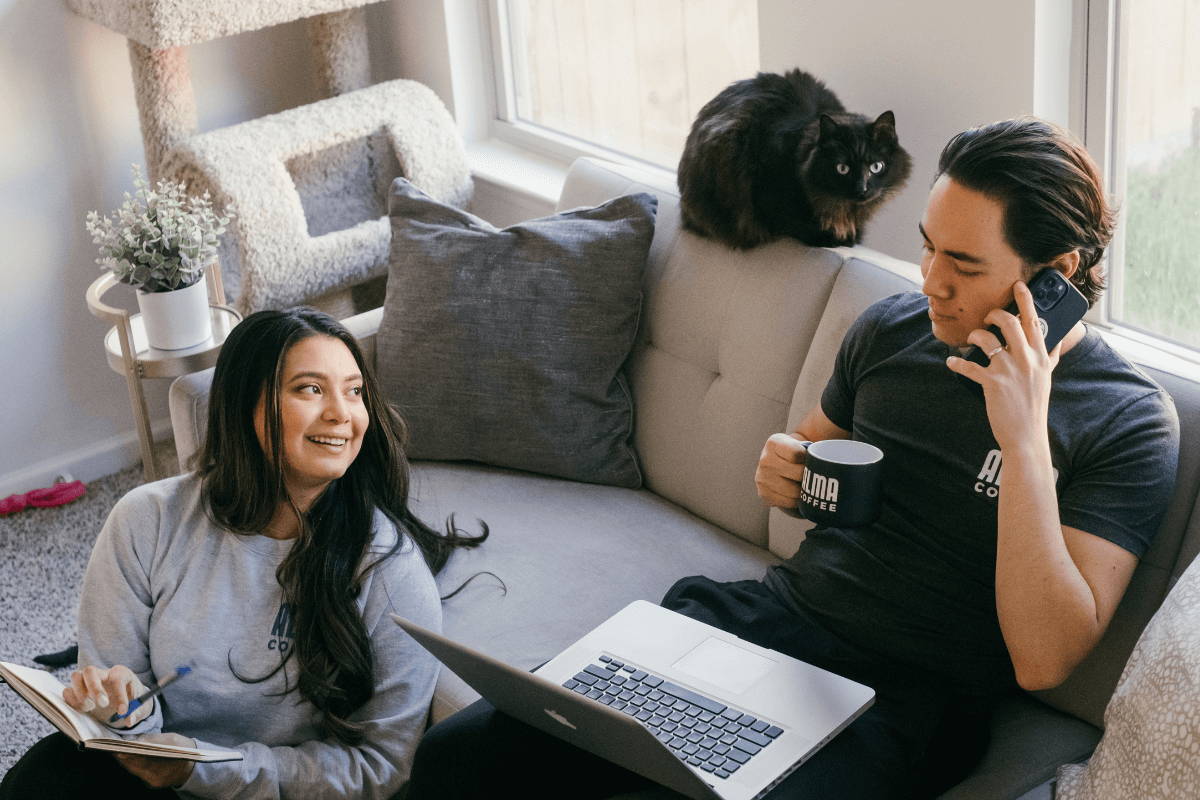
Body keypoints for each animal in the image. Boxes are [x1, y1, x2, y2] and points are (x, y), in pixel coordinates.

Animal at [676, 70, 907, 250]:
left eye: (876, 167)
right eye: (842, 168)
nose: (862, 189)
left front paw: (851, 235)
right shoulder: (766, 189)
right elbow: (791, 221)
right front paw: (829, 238)